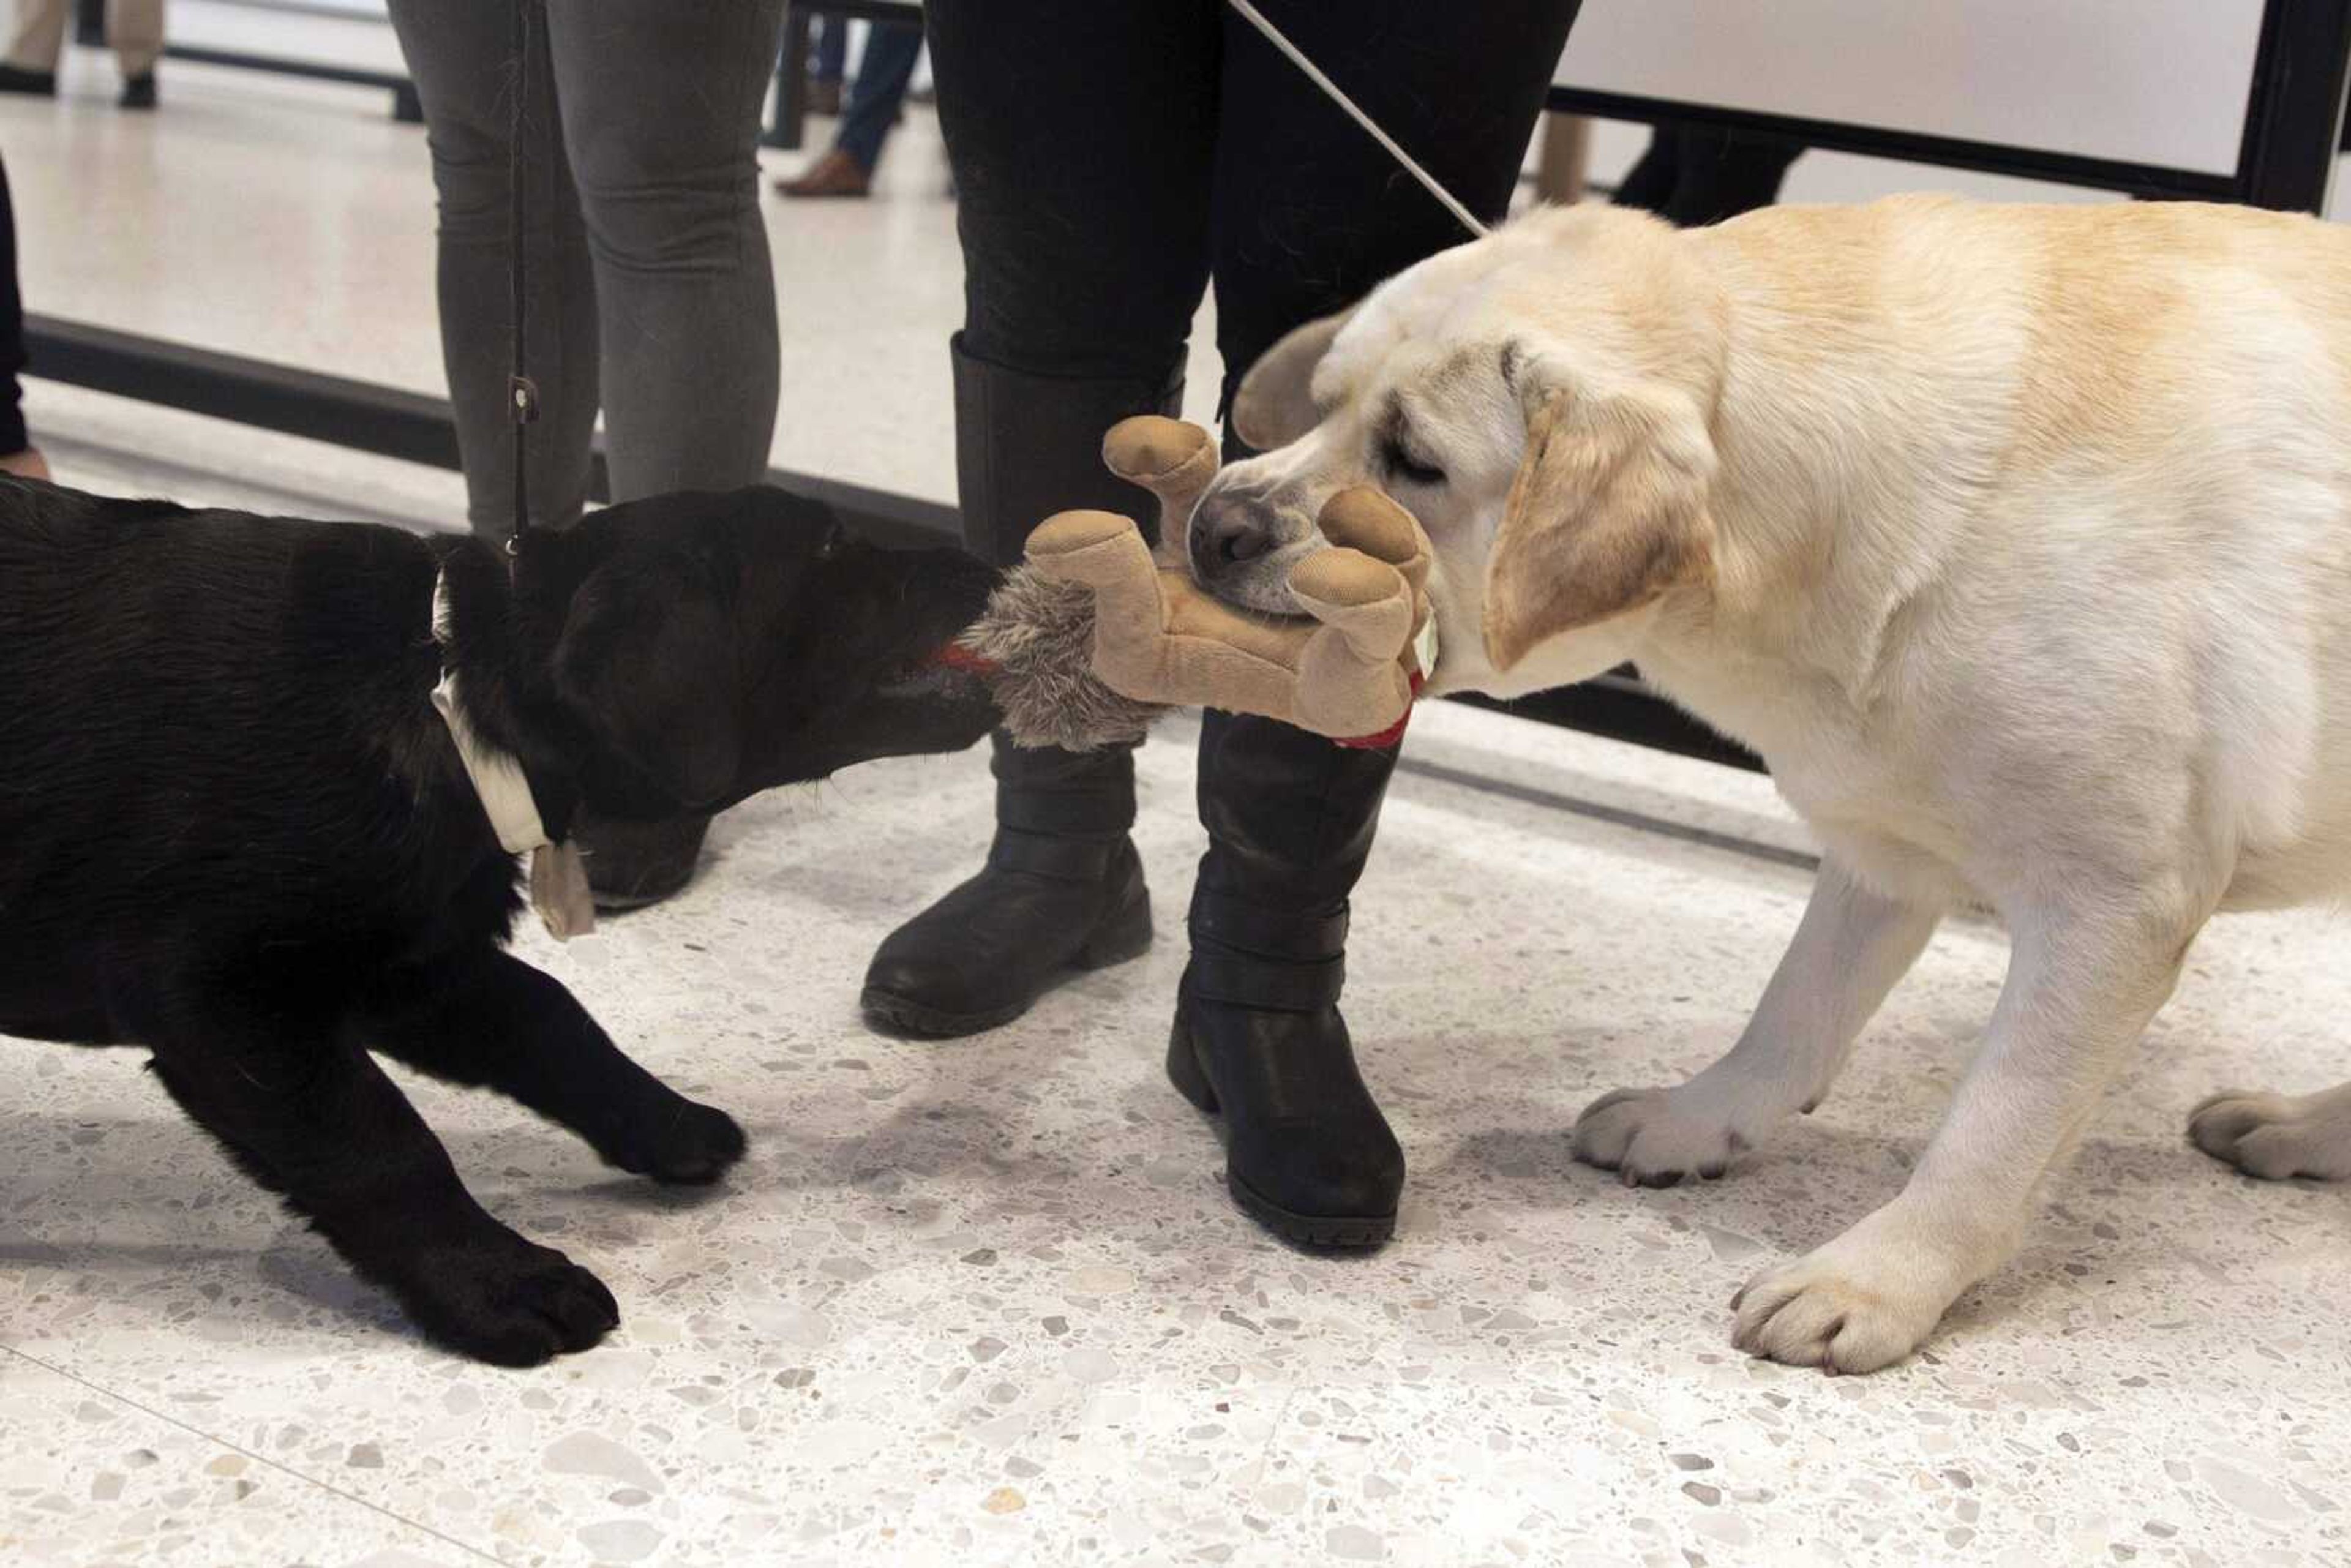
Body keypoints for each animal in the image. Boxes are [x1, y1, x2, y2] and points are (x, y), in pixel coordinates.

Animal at [0, 479, 997, 1363]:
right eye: (831, 546)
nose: (990, 556)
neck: (439, 693)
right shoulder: (227, 995)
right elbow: (381, 1143)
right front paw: (497, 1285)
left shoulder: (411, 959)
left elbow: (553, 1020)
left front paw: (663, 1122)